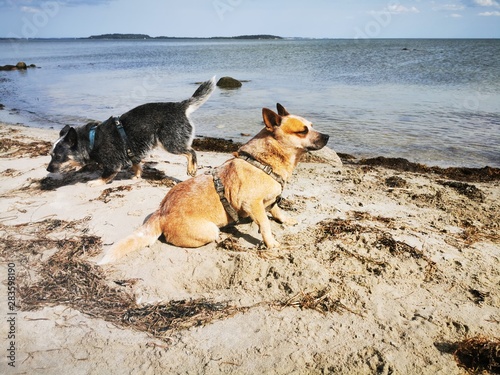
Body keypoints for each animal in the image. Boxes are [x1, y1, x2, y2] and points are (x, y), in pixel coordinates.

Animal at [47, 77, 217, 187]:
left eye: (58, 157)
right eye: (50, 155)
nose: (47, 169)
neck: (91, 140)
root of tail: (180, 106)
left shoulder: (113, 165)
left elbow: (105, 175)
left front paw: (96, 182)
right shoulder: (133, 153)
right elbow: (136, 165)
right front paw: (137, 175)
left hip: (170, 143)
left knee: (191, 152)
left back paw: (192, 168)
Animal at [99, 104, 330, 266]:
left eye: (312, 126)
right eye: (302, 131)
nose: (327, 135)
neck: (265, 162)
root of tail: (161, 212)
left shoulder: (271, 200)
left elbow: (277, 210)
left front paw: (286, 219)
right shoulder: (252, 204)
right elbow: (265, 224)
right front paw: (271, 243)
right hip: (210, 230)